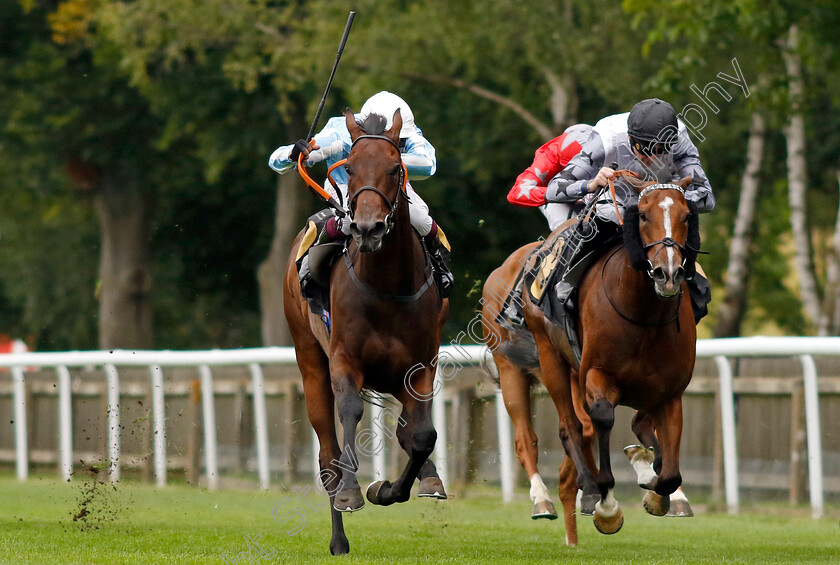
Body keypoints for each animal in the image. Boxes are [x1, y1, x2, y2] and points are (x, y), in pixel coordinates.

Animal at [286, 108, 450, 552]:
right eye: (352, 168)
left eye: (396, 168)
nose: (368, 228)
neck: (388, 285)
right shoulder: (345, 360)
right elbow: (351, 414)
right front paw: (353, 491)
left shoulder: (421, 363)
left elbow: (421, 434)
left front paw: (391, 488)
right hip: (310, 363)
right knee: (326, 455)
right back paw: (338, 538)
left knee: (408, 429)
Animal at [482, 174, 700, 544]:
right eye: (642, 215)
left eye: (686, 216)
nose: (667, 273)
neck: (644, 315)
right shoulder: (596, 374)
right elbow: (599, 420)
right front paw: (606, 505)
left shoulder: (670, 392)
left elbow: (669, 471)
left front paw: (659, 492)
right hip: (531, 362)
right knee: (551, 432)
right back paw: (550, 498)